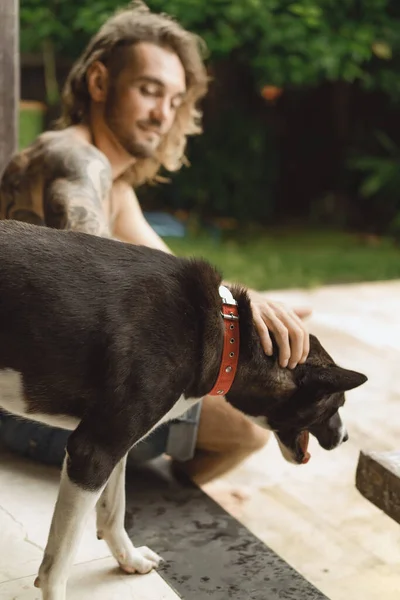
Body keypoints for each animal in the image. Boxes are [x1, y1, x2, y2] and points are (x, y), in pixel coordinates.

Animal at [0, 221, 368, 600]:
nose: (345, 438)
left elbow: (114, 510)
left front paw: (128, 557)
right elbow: (59, 563)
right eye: (336, 404)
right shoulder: (93, 451)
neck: (229, 335)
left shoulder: (114, 446)